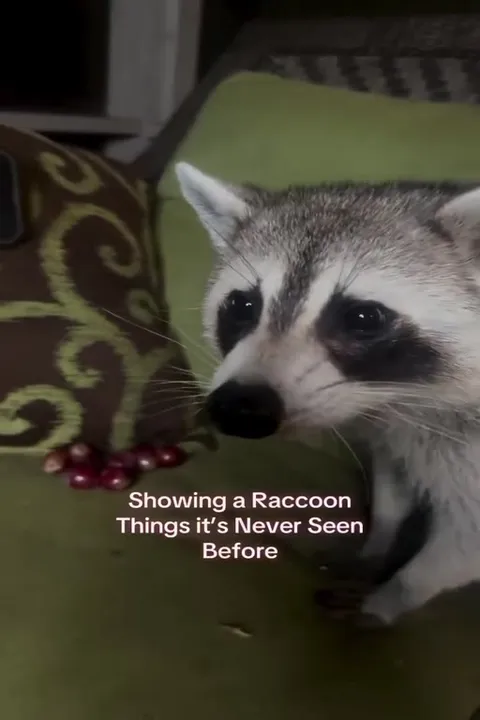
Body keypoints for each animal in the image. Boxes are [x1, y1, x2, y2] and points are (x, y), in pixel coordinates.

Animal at [176, 161, 480, 625]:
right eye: (243, 306)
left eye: (364, 318)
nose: (238, 407)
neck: (407, 396)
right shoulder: (392, 429)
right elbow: (392, 482)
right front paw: (376, 545)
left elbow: (462, 545)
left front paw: (394, 594)